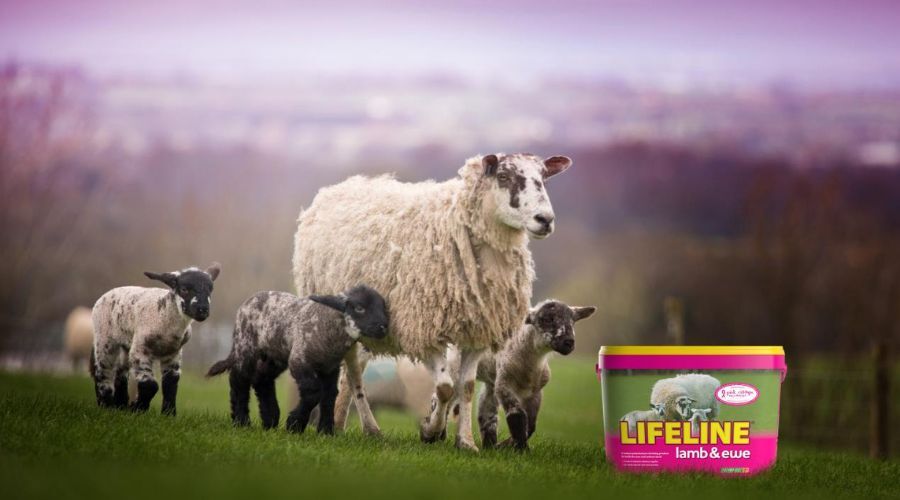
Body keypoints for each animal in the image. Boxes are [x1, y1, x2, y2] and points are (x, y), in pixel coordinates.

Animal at [90, 262, 221, 414]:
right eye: (184, 289)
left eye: (210, 290)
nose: (203, 310)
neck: (163, 315)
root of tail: (106, 295)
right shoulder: (140, 350)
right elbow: (150, 385)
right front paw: (138, 408)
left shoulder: (173, 353)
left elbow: (171, 381)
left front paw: (169, 413)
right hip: (104, 339)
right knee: (102, 372)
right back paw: (106, 405)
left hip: (126, 344)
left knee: (120, 374)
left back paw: (120, 405)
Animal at [207, 286, 390, 434]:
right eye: (359, 308)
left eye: (383, 308)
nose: (383, 327)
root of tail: (249, 300)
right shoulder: (299, 360)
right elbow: (313, 392)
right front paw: (295, 424)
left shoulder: (330, 368)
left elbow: (330, 395)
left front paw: (325, 431)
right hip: (245, 345)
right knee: (239, 379)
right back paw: (241, 420)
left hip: (275, 355)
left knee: (262, 378)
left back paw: (270, 419)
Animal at [292, 152, 572, 450]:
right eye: (504, 176)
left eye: (544, 178)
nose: (545, 219)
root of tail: (341, 186)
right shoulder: (423, 329)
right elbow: (445, 387)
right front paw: (430, 430)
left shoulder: (478, 332)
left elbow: (466, 388)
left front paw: (466, 442)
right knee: (354, 375)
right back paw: (363, 427)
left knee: (350, 374)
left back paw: (344, 424)